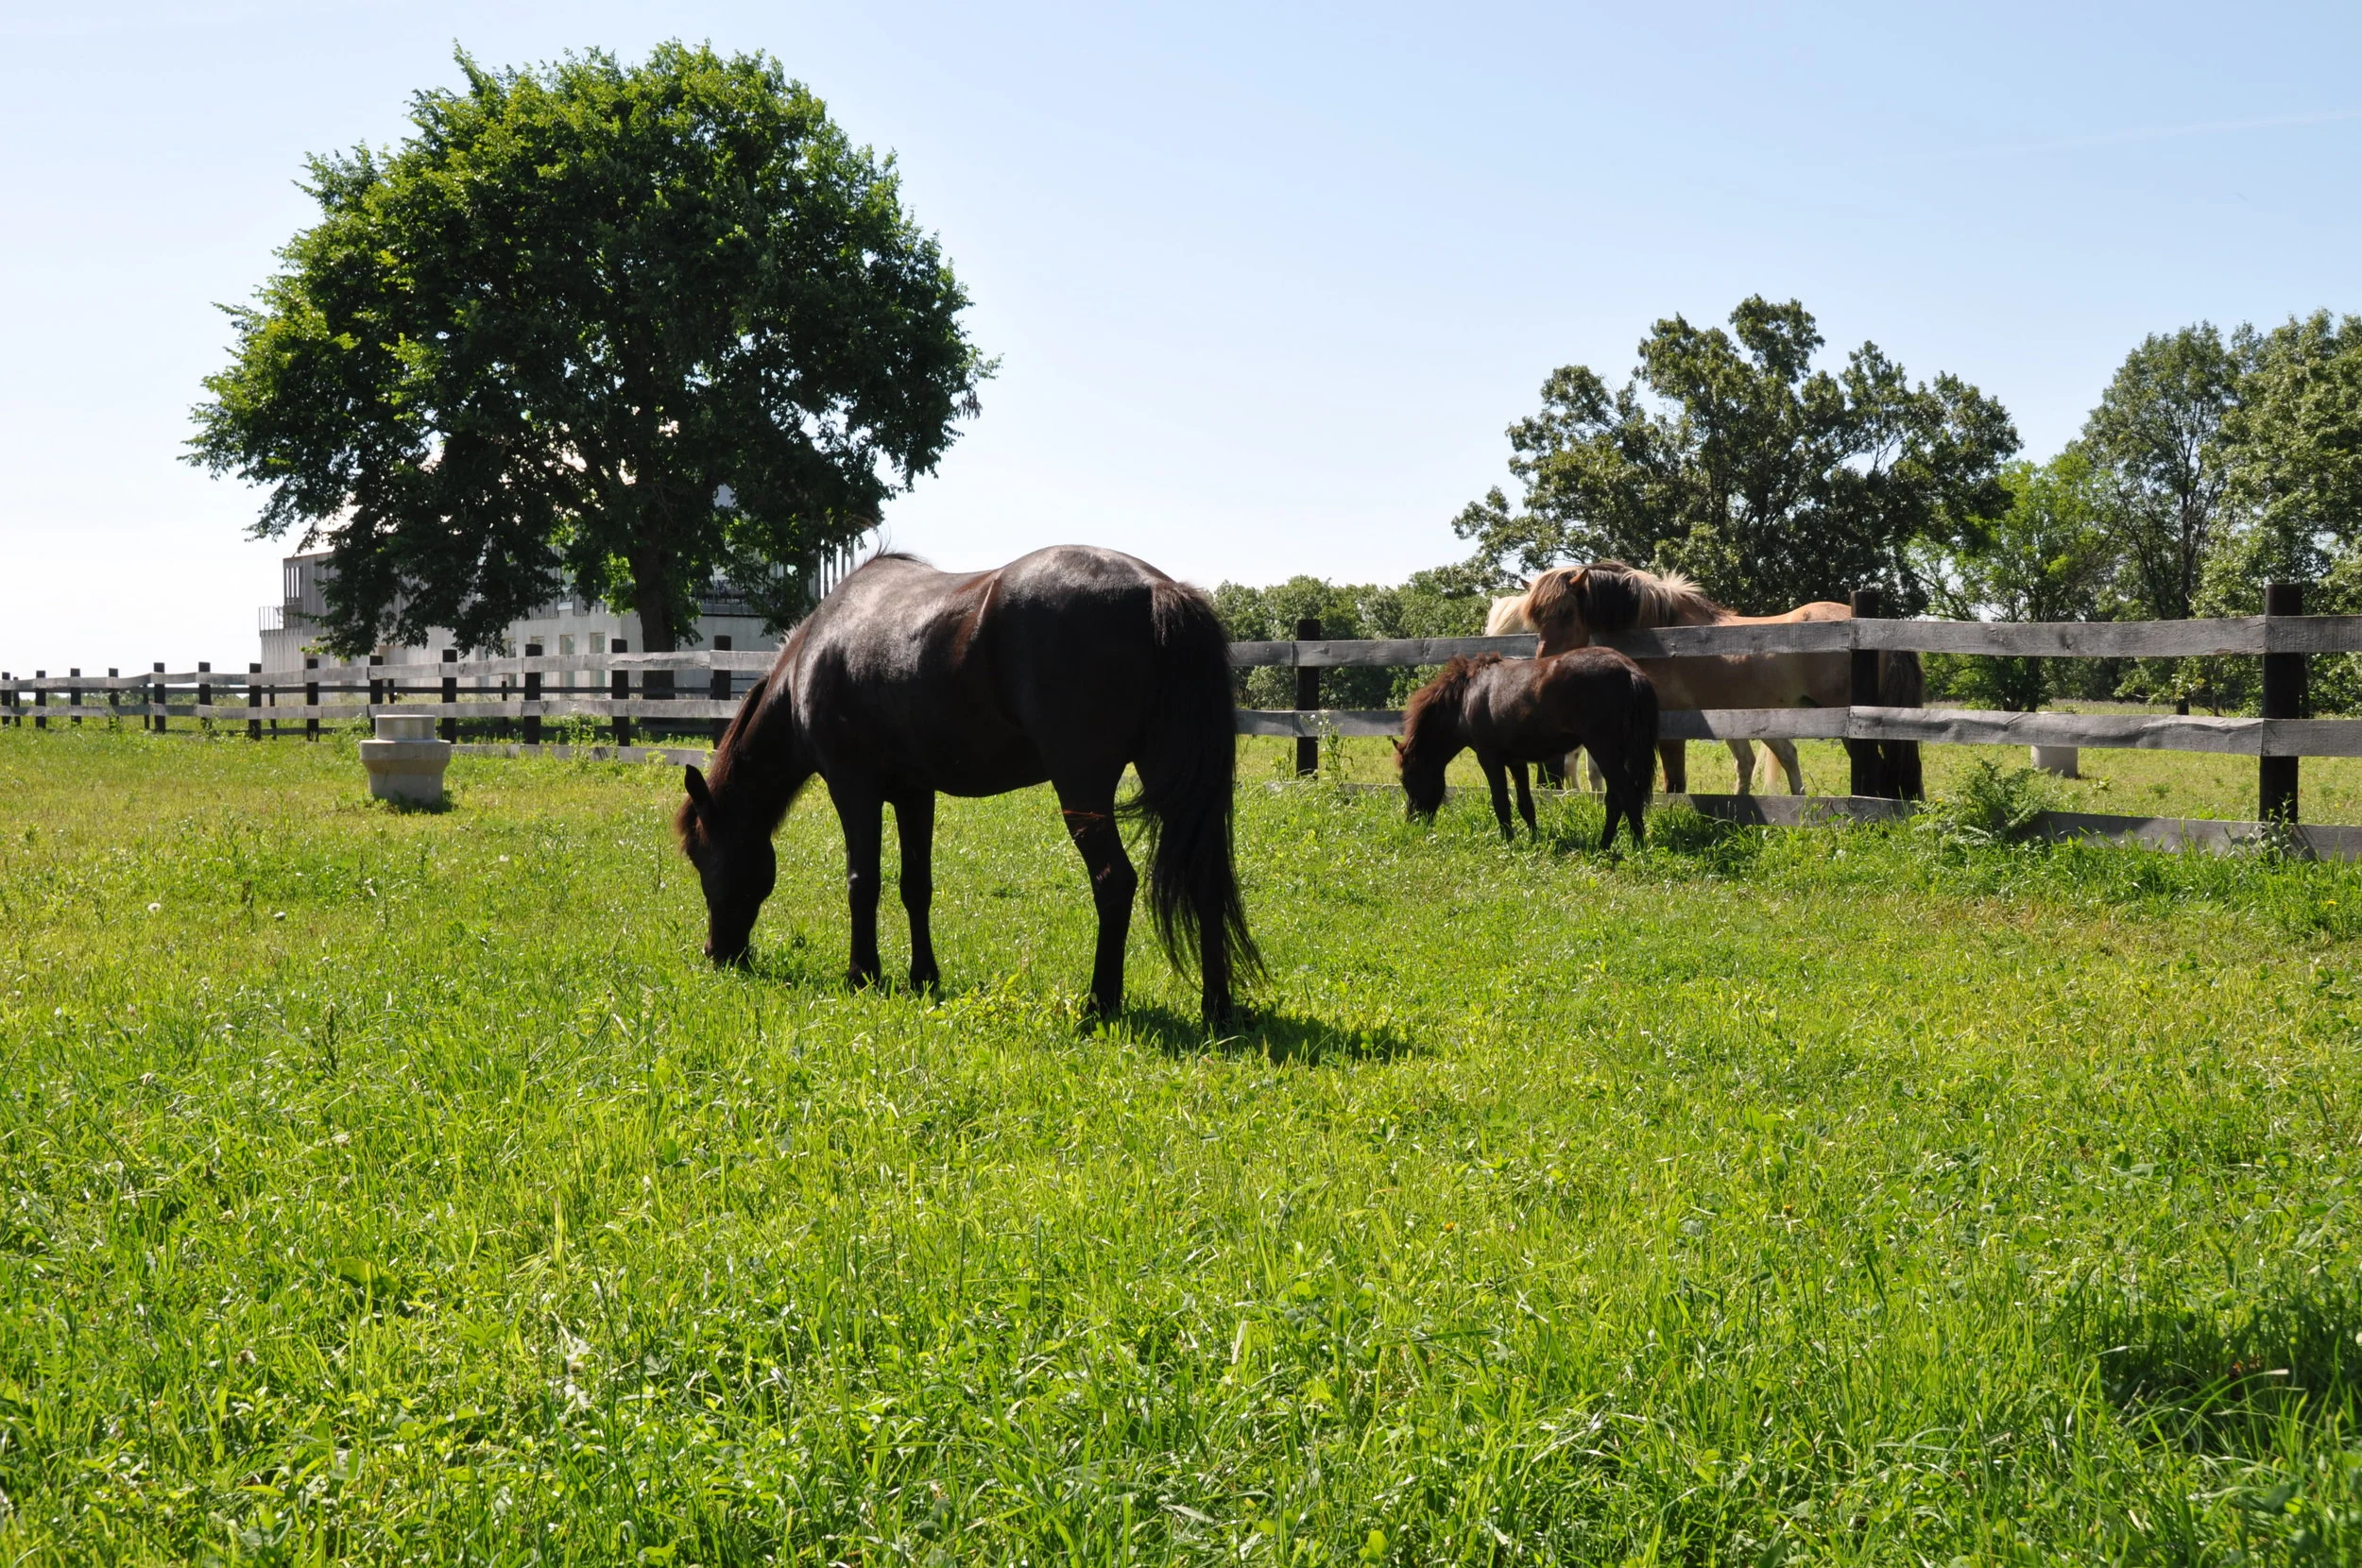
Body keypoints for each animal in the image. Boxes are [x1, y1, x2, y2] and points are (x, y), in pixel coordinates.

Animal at [675, 547, 1260, 1027]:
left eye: (703, 858)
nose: (716, 953)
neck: (814, 652)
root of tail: (1158, 591)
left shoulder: (853, 788)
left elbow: (862, 882)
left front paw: (862, 974)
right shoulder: (914, 794)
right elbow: (916, 886)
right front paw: (922, 977)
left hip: (1083, 789)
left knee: (1114, 881)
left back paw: (1100, 1004)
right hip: (1169, 781)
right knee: (1203, 880)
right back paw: (1217, 1008)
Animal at [1395, 649, 1658, 848]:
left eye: (1407, 779)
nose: (1413, 822)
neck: (1467, 697)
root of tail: (1629, 670)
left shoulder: (1489, 759)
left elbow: (1501, 802)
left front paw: (1509, 842)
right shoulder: (1516, 761)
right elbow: (1526, 805)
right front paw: (1533, 840)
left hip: (1603, 750)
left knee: (1627, 795)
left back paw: (1635, 846)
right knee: (1615, 799)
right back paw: (1604, 845)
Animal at [1514, 562, 1924, 797]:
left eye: (1567, 612)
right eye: (1534, 617)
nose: (1545, 664)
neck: (1663, 633)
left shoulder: (1671, 726)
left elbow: (1673, 782)